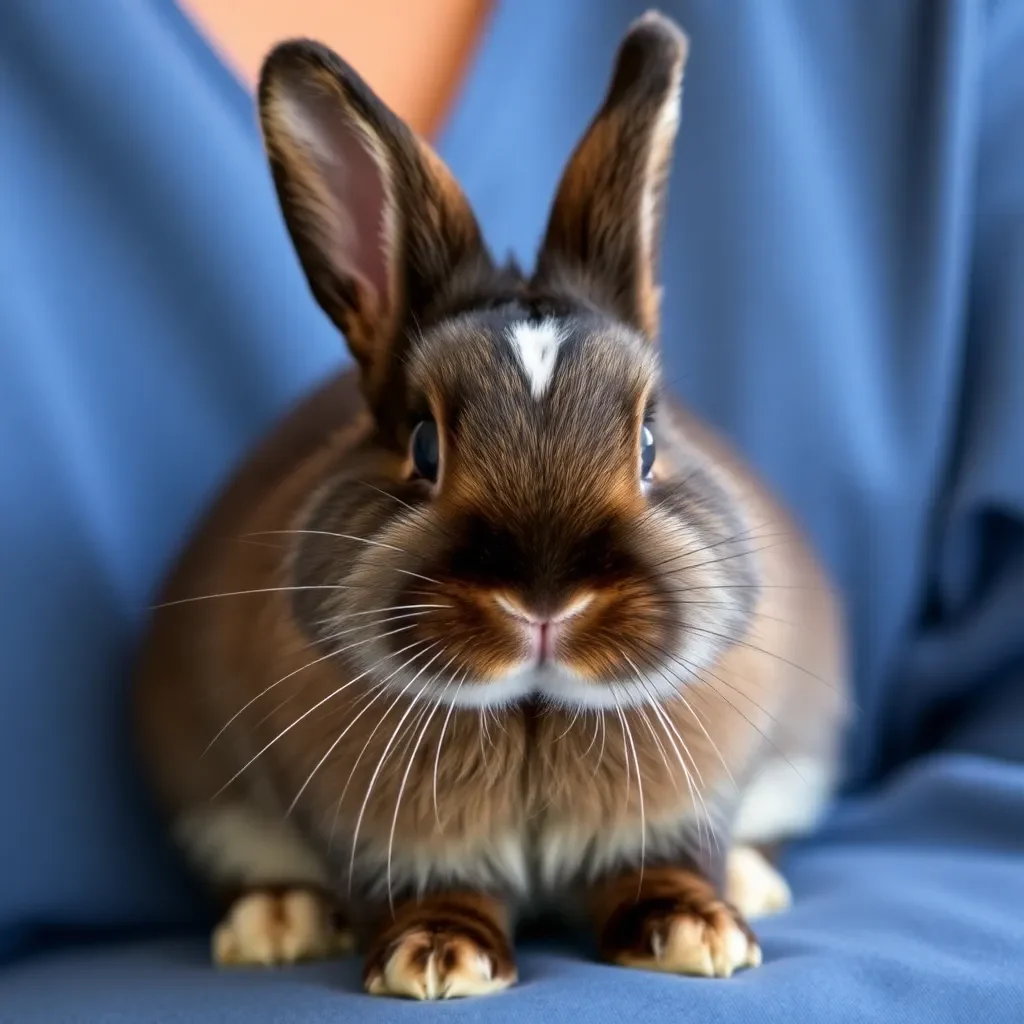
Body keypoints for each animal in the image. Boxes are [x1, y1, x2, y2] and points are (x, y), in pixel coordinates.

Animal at [134, 8, 847, 999]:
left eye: (649, 442)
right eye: (423, 445)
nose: (545, 602)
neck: (534, 710)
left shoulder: (677, 812)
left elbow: (663, 869)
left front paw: (701, 936)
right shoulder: (393, 843)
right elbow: (430, 894)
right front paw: (438, 959)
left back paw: (751, 883)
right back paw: (276, 922)